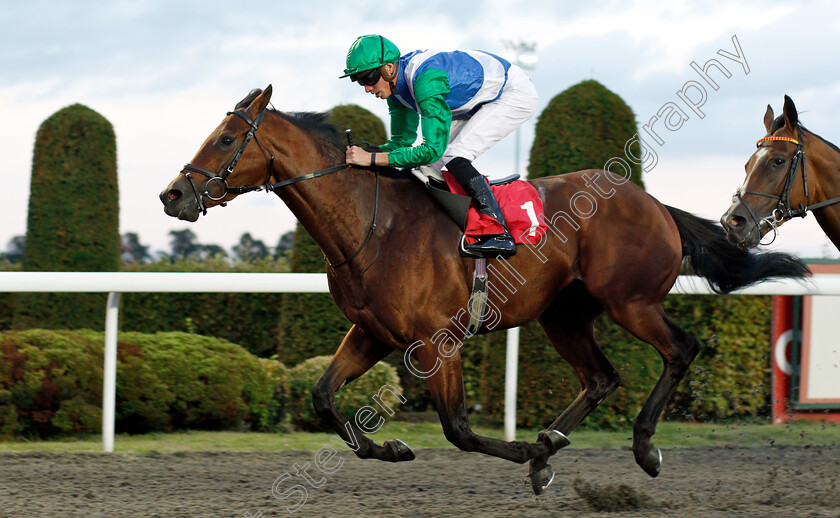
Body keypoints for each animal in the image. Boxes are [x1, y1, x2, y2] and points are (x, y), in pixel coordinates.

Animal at [159, 86, 808, 496]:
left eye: (225, 139)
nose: (172, 194)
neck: (372, 225)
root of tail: (653, 204)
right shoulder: (371, 333)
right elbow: (321, 396)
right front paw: (392, 449)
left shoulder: (436, 340)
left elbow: (459, 429)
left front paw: (527, 455)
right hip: (564, 315)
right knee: (601, 377)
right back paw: (553, 439)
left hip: (631, 301)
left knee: (680, 350)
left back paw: (640, 449)